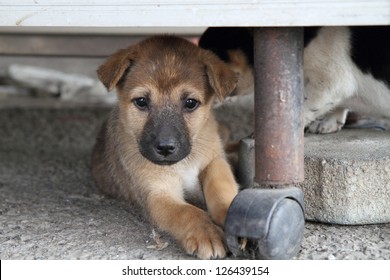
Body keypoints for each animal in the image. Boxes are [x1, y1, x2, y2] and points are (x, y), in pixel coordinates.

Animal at [91, 36, 239, 260]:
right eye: (141, 101)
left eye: (190, 103)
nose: (166, 147)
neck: (183, 163)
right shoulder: (157, 193)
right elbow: (187, 212)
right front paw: (206, 232)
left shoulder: (214, 160)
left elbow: (221, 186)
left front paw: (232, 213)